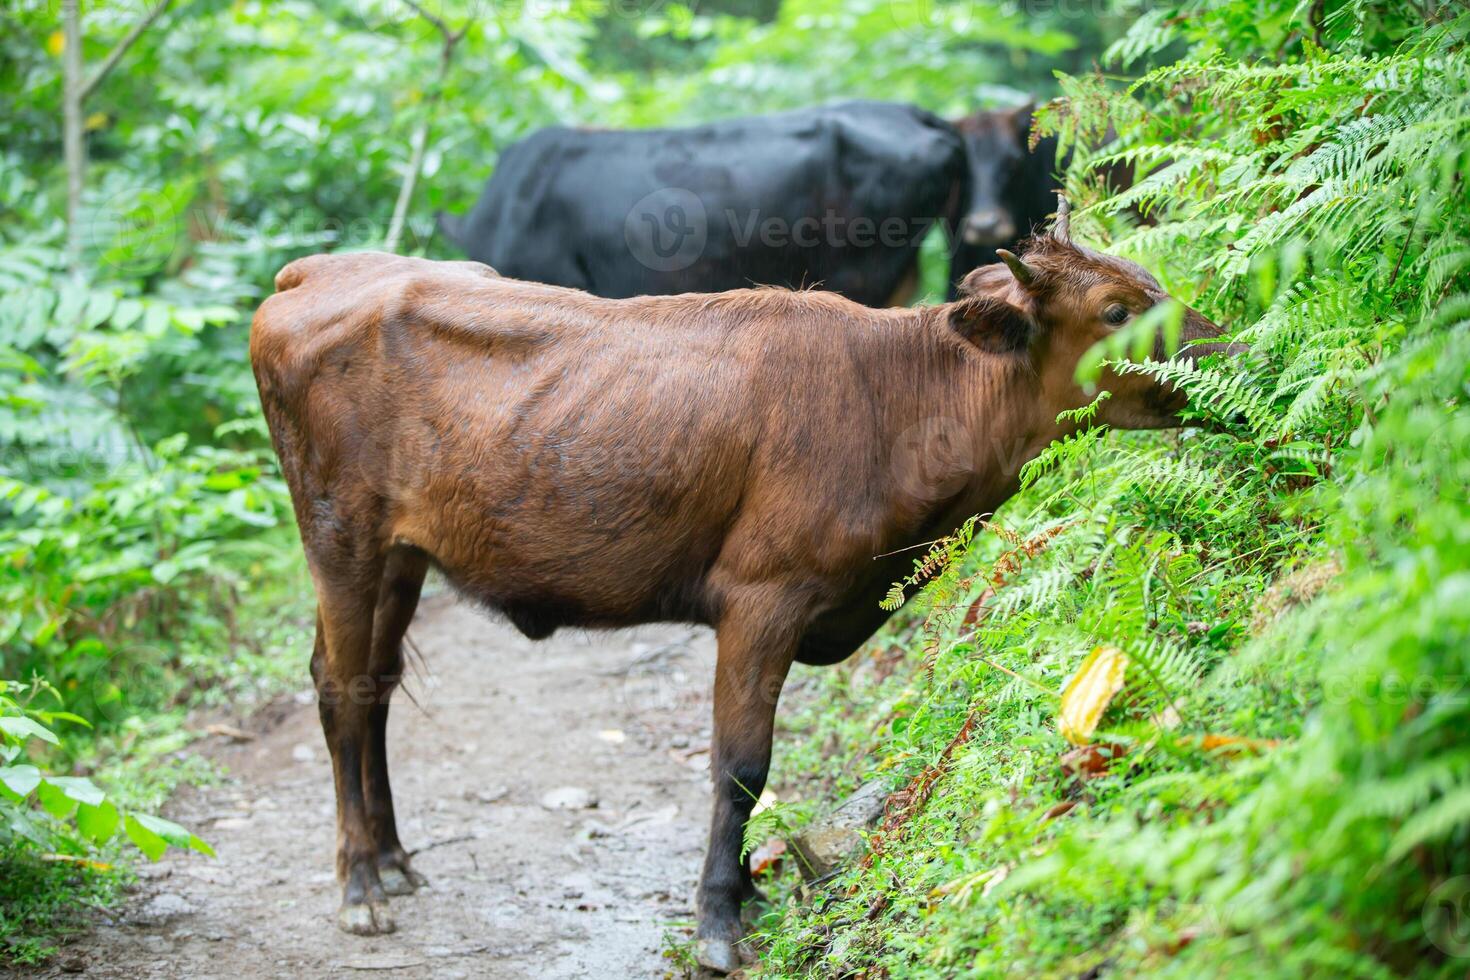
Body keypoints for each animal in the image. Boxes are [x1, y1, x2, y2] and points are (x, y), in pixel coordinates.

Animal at [249, 207, 1228, 975]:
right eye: (1115, 311)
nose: (1232, 351)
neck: (903, 403)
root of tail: (320, 270)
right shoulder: (764, 597)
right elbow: (741, 766)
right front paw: (722, 920)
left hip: (403, 553)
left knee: (374, 684)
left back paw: (394, 857)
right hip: (340, 533)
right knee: (341, 688)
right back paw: (361, 884)